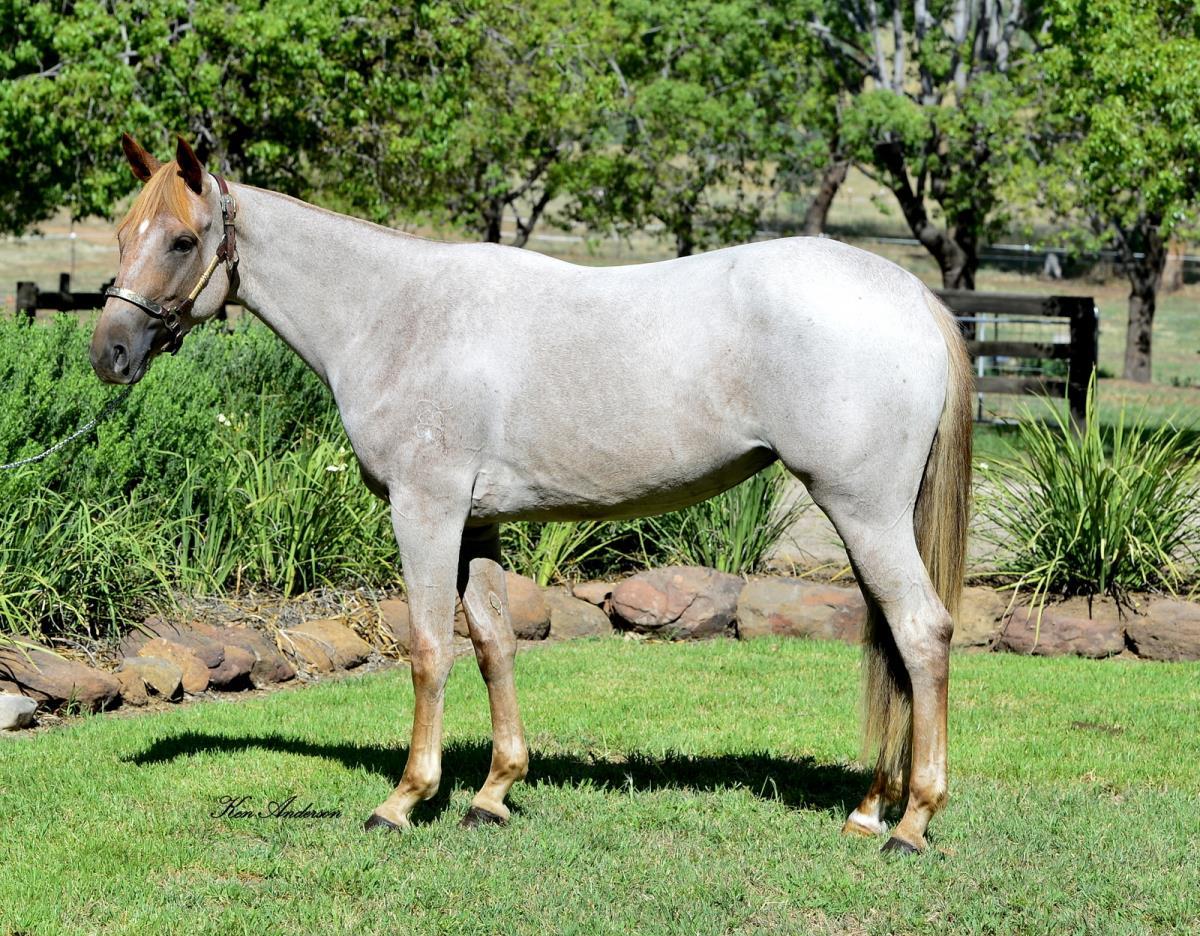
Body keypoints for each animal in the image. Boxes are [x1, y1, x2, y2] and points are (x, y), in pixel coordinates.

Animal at [91, 134, 972, 855]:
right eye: (123, 235)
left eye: (181, 239)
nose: (109, 353)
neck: (395, 314)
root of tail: (910, 295)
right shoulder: (477, 525)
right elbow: (492, 644)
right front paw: (493, 793)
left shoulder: (426, 511)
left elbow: (427, 649)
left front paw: (404, 800)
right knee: (893, 643)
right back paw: (870, 809)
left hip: (862, 511)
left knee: (921, 633)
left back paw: (914, 822)